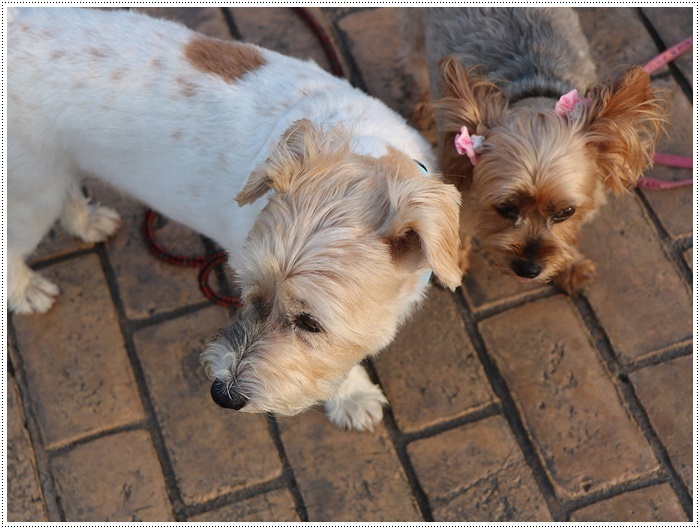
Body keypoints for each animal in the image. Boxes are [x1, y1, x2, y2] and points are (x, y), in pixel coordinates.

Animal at [8, 7, 464, 428]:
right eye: (246, 290)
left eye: (310, 323)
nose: (222, 394)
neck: (360, 148)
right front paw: (352, 396)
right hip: (30, 195)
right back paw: (26, 289)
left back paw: (85, 221)